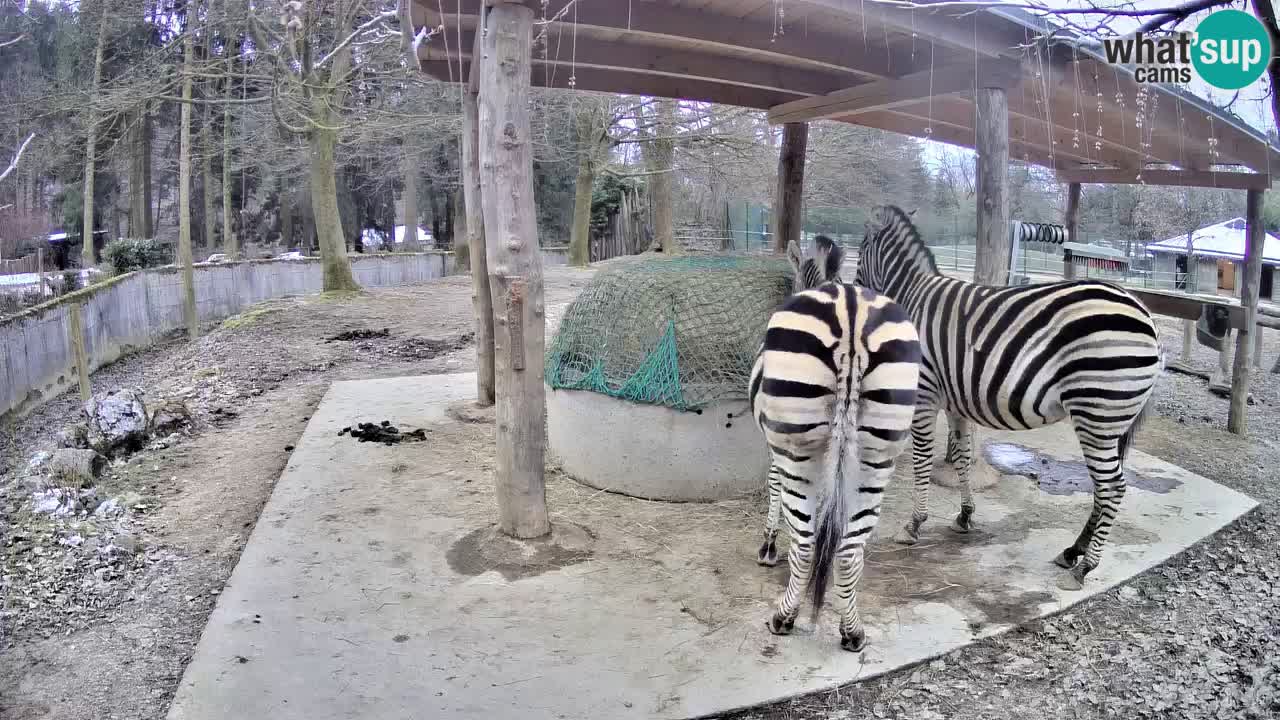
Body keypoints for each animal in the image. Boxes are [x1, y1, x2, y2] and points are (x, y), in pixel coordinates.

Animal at [747, 235, 926, 650]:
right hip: (878, 453)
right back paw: (852, 630)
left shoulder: (775, 443)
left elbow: (774, 486)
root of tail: (851, 313)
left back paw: (783, 618)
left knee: (805, 544)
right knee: (848, 550)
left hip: (800, 450)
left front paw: (768, 547)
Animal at [855, 204, 1167, 586]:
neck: (913, 295)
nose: (856, 293)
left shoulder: (925, 394)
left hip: (1097, 415)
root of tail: (1146, 316)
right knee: (1102, 487)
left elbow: (922, 459)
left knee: (1113, 487)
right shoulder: (954, 401)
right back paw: (1072, 552)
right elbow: (963, 457)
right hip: (1110, 421)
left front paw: (914, 524)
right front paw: (965, 515)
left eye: (861, 250)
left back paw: (1086, 566)